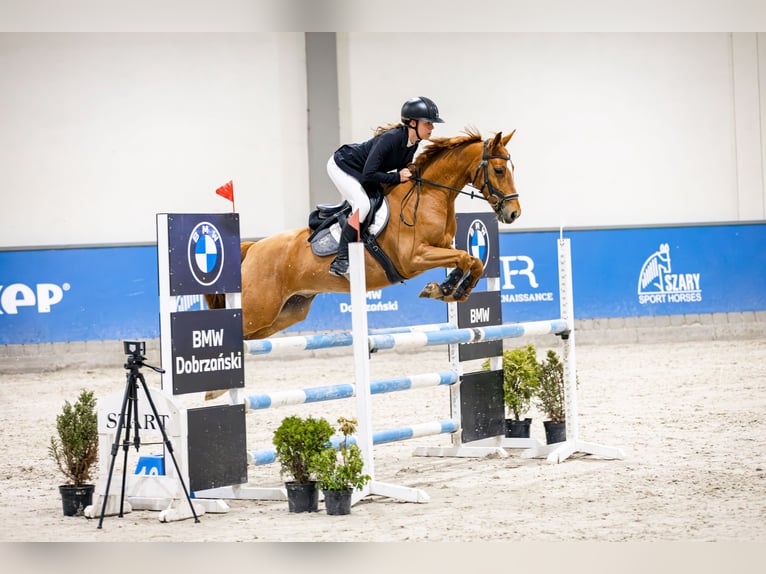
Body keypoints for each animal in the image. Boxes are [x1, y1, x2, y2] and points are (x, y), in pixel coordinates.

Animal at [206, 128, 521, 341]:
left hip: (283, 314)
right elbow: (465, 258)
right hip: (259, 308)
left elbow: (470, 260)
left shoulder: (442, 248)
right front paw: (444, 288)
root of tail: (253, 248)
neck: (430, 195)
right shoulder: (414, 258)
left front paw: (450, 289)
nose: (514, 213)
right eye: (499, 169)